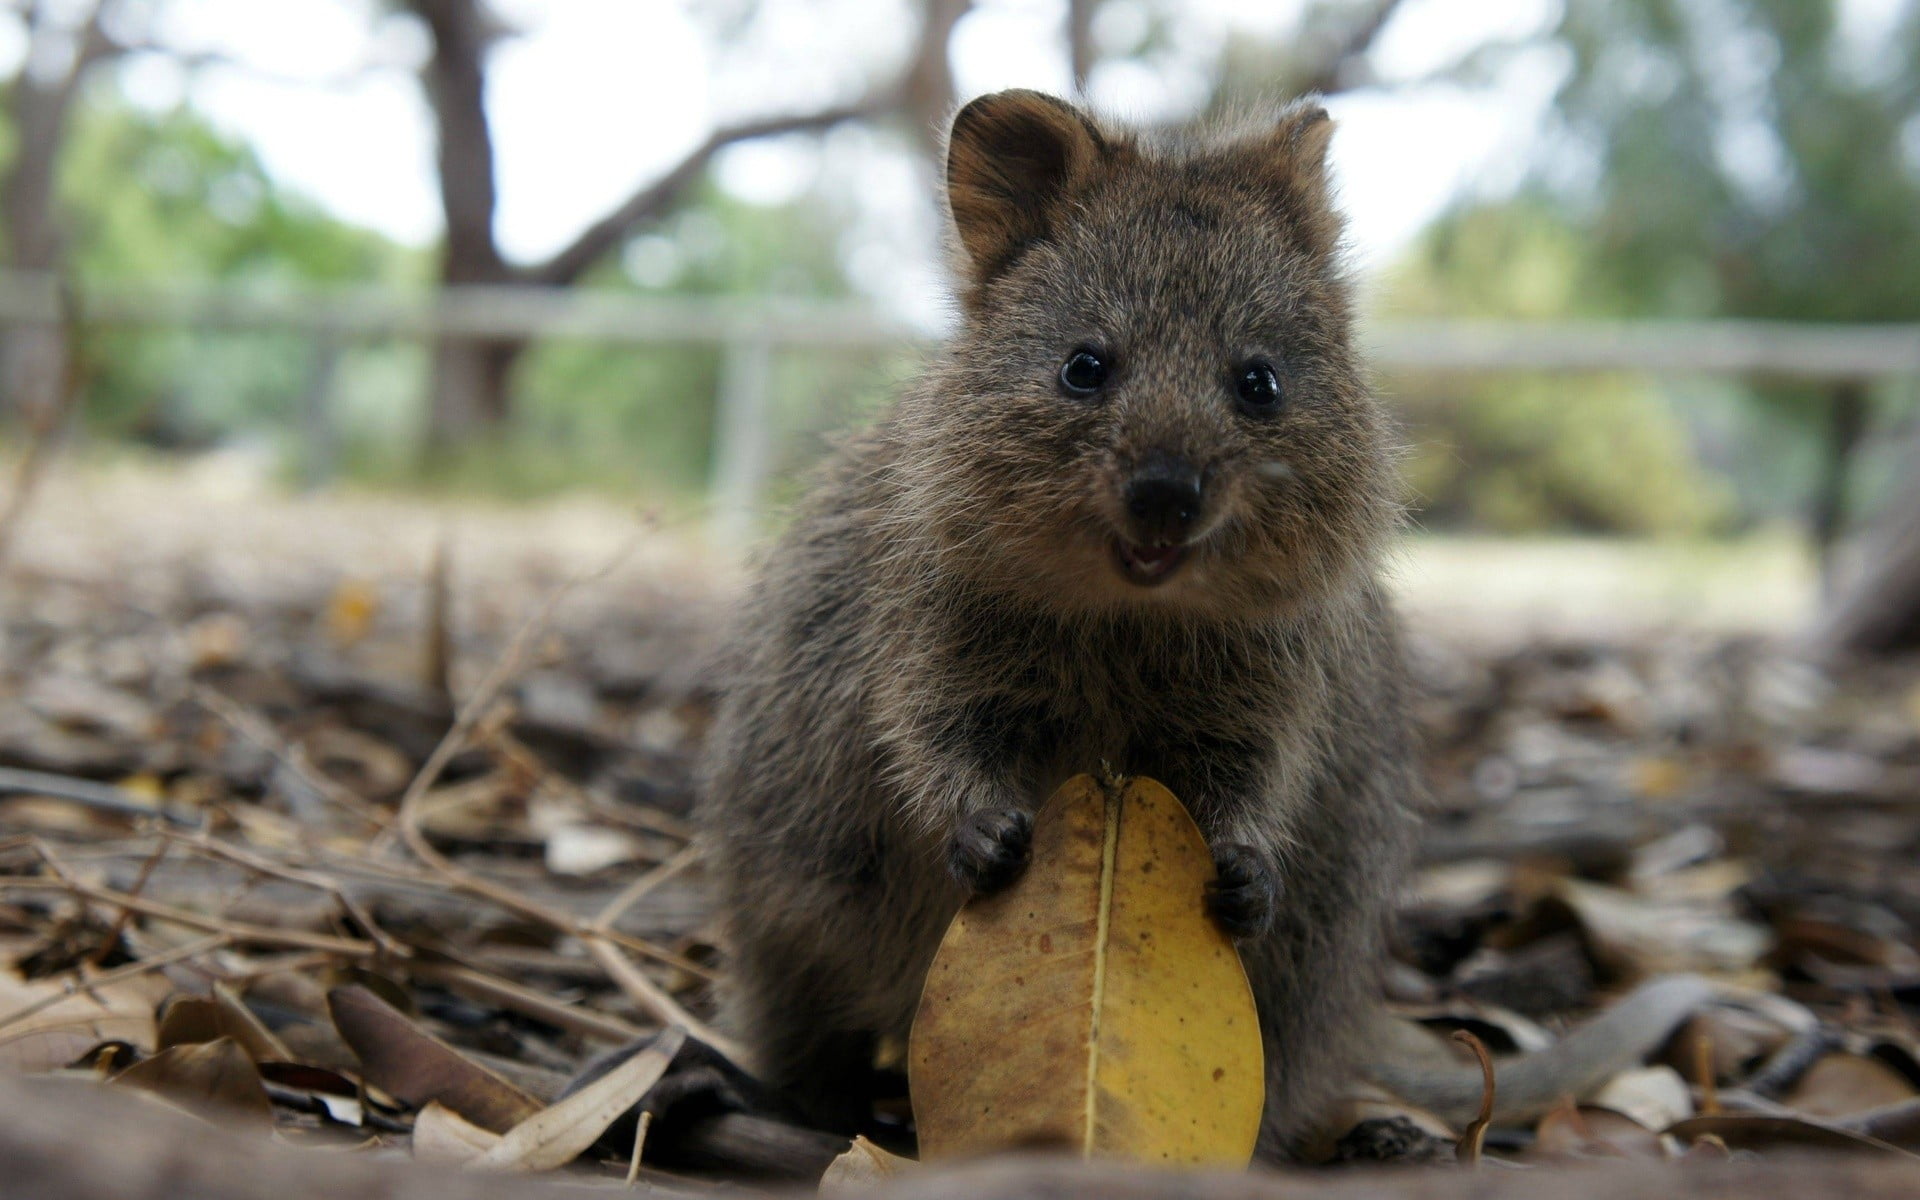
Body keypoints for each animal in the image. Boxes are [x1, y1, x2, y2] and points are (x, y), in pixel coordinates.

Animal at [696, 89, 1706, 1160]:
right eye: (1083, 367)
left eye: (1259, 382)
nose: (1165, 496)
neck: (1125, 618)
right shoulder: (922, 632)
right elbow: (926, 736)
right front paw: (977, 833)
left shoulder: (1267, 690)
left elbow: (1256, 779)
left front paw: (1246, 873)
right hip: (781, 920)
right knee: (801, 1027)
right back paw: (775, 1100)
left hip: (1291, 1003)